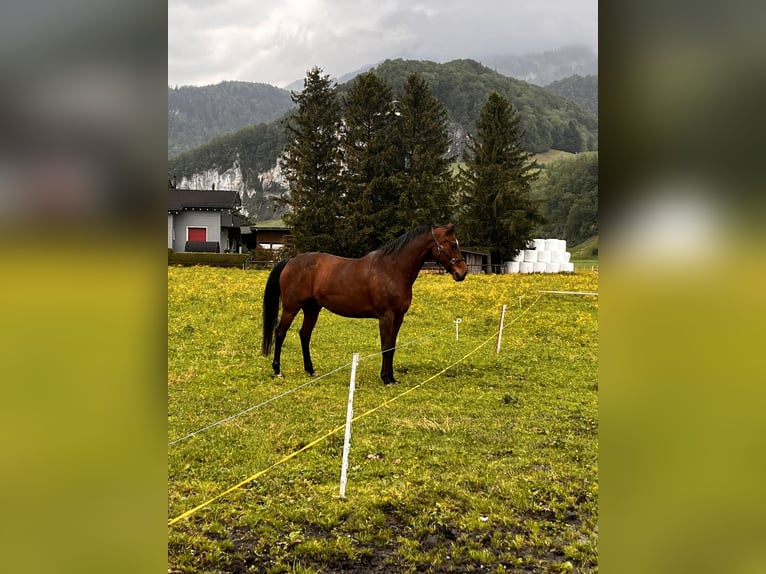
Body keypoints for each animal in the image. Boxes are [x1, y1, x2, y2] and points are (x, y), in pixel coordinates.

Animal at [261, 224, 468, 385]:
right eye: (452, 243)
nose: (462, 272)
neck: (393, 269)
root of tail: (290, 261)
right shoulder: (386, 316)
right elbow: (386, 347)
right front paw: (386, 378)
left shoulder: (398, 317)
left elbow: (392, 347)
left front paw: (392, 378)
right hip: (291, 308)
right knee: (280, 333)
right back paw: (277, 371)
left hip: (312, 309)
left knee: (304, 335)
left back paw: (310, 370)